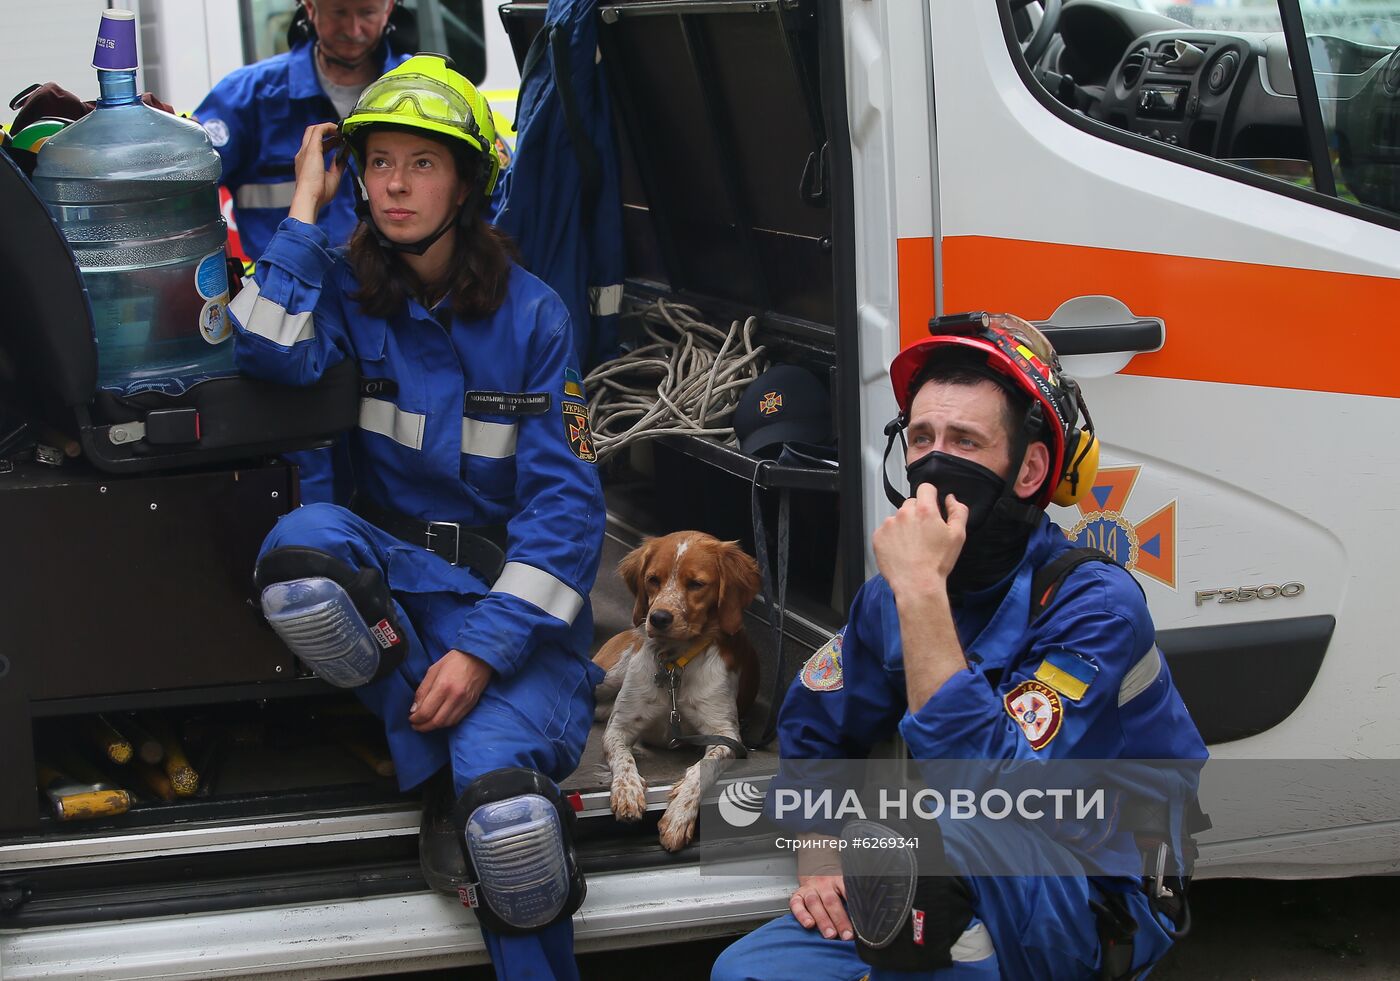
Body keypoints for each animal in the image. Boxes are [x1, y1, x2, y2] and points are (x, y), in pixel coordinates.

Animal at [593, 528, 767, 850]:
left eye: (696, 584)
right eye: (653, 579)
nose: (658, 618)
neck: (675, 665)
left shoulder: (726, 735)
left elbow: (702, 770)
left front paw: (678, 817)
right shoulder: (619, 727)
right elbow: (623, 760)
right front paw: (627, 791)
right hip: (606, 676)